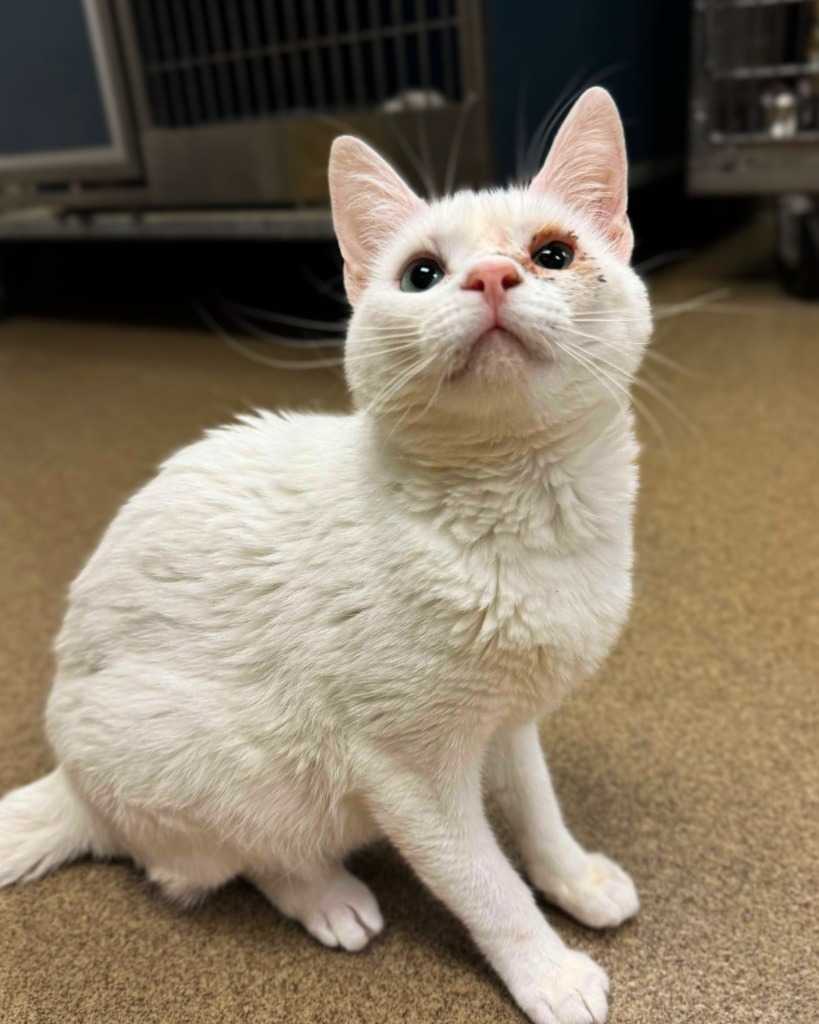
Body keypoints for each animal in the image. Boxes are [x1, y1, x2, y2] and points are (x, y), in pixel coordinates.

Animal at [0, 88, 651, 1024]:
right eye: (422, 274)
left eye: (551, 254)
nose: (494, 277)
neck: (524, 517)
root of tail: (72, 782)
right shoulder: (408, 774)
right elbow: (484, 880)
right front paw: (546, 970)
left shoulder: (508, 720)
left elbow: (535, 808)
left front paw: (572, 878)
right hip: (234, 771)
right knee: (219, 864)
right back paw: (329, 898)